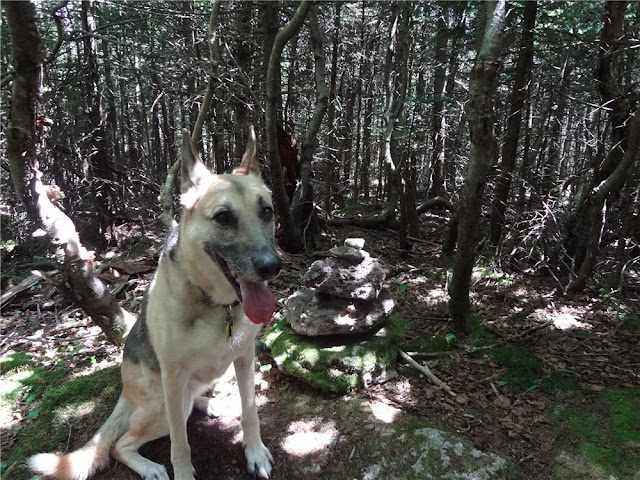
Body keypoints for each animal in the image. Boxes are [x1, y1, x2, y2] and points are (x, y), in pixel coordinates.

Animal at [29, 126, 281, 480]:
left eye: (267, 211)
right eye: (223, 217)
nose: (273, 266)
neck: (217, 305)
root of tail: (124, 392)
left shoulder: (245, 360)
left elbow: (250, 413)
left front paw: (255, 452)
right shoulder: (173, 379)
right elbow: (180, 445)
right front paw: (184, 473)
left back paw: (208, 403)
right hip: (162, 406)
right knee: (120, 445)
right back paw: (150, 468)